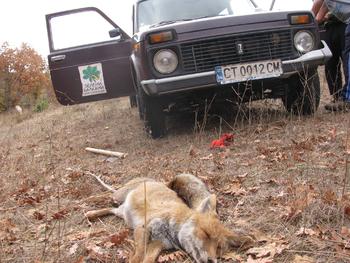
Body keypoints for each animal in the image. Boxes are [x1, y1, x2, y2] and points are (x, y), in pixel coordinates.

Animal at [86, 178, 253, 262]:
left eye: (218, 247)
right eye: (205, 234)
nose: (212, 261)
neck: (171, 233)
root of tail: (162, 182)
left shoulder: (158, 243)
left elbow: (147, 259)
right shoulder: (143, 228)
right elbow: (138, 255)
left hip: (124, 214)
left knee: (111, 210)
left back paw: (91, 214)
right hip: (118, 196)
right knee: (107, 197)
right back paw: (90, 205)